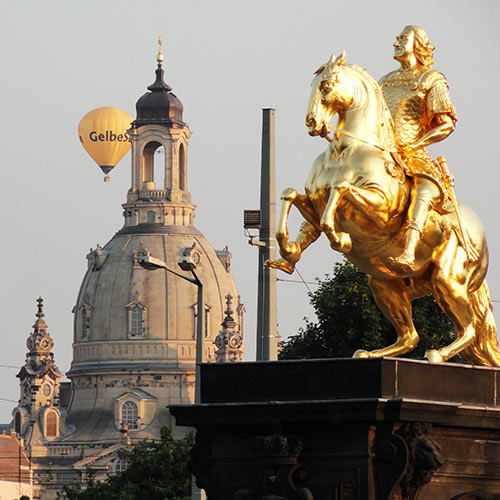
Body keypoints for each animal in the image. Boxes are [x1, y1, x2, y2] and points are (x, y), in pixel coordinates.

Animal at [268, 51, 500, 368]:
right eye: (312, 84)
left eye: (326, 85)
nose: (312, 122)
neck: (347, 150)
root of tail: (482, 239)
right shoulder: (313, 201)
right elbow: (290, 194)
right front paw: (287, 253)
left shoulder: (380, 207)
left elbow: (340, 189)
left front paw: (340, 238)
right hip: (384, 284)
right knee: (410, 336)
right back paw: (371, 353)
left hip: (448, 280)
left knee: (470, 330)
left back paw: (436, 353)